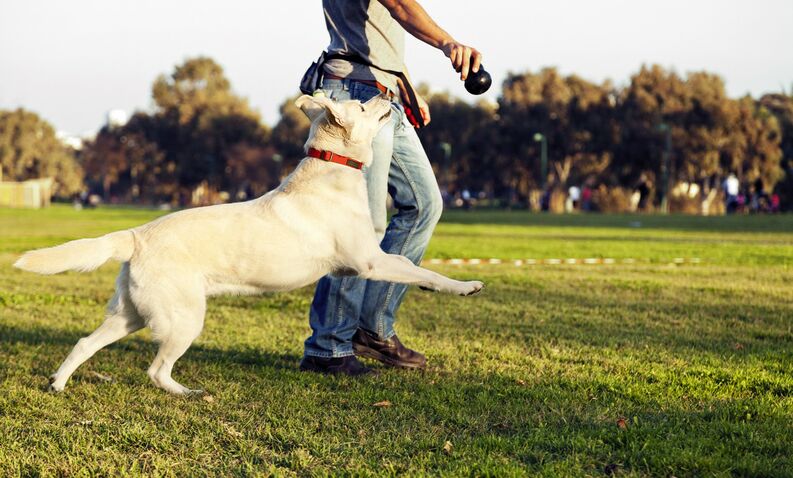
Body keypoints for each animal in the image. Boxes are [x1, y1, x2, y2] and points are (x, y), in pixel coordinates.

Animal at [13, 94, 482, 396]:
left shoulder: (363, 263)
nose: (389, 93)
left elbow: (410, 268)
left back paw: (58, 384)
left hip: (131, 315)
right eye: (364, 106)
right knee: (155, 369)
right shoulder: (369, 261)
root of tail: (136, 235)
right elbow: (416, 267)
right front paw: (463, 286)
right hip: (184, 319)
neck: (331, 169)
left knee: (84, 343)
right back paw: (187, 393)